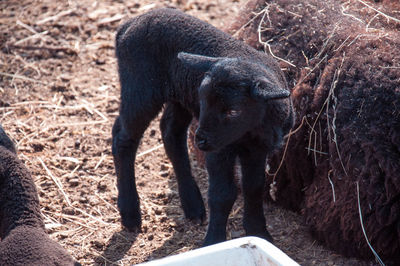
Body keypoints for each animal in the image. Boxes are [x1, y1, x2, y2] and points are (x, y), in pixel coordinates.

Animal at [112, 7, 294, 245]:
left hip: (178, 95)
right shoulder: (219, 150)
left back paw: (192, 205)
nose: (200, 140)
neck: (249, 132)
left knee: (170, 132)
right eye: (204, 101)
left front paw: (259, 233)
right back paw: (130, 213)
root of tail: (130, 23)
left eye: (233, 111)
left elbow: (253, 187)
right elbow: (222, 194)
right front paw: (214, 241)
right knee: (123, 139)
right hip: (140, 88)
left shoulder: (258, 150)